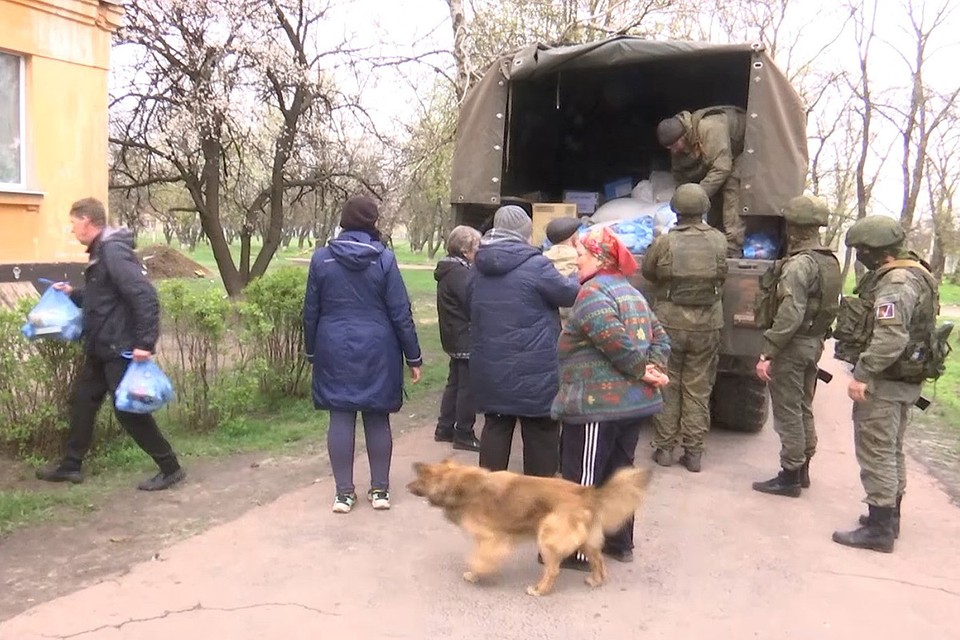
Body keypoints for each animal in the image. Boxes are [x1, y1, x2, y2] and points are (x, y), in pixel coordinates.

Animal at [406, 460, 652, 596]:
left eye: (419, 479)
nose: (408, 486)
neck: (458, 484)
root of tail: (586, 492)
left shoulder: (491, 539)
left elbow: (479, 558)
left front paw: (476, 573)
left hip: (547, 538)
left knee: (553, 570)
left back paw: (539, 590)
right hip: (586, 541)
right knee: (598, 561)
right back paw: (596, 580)